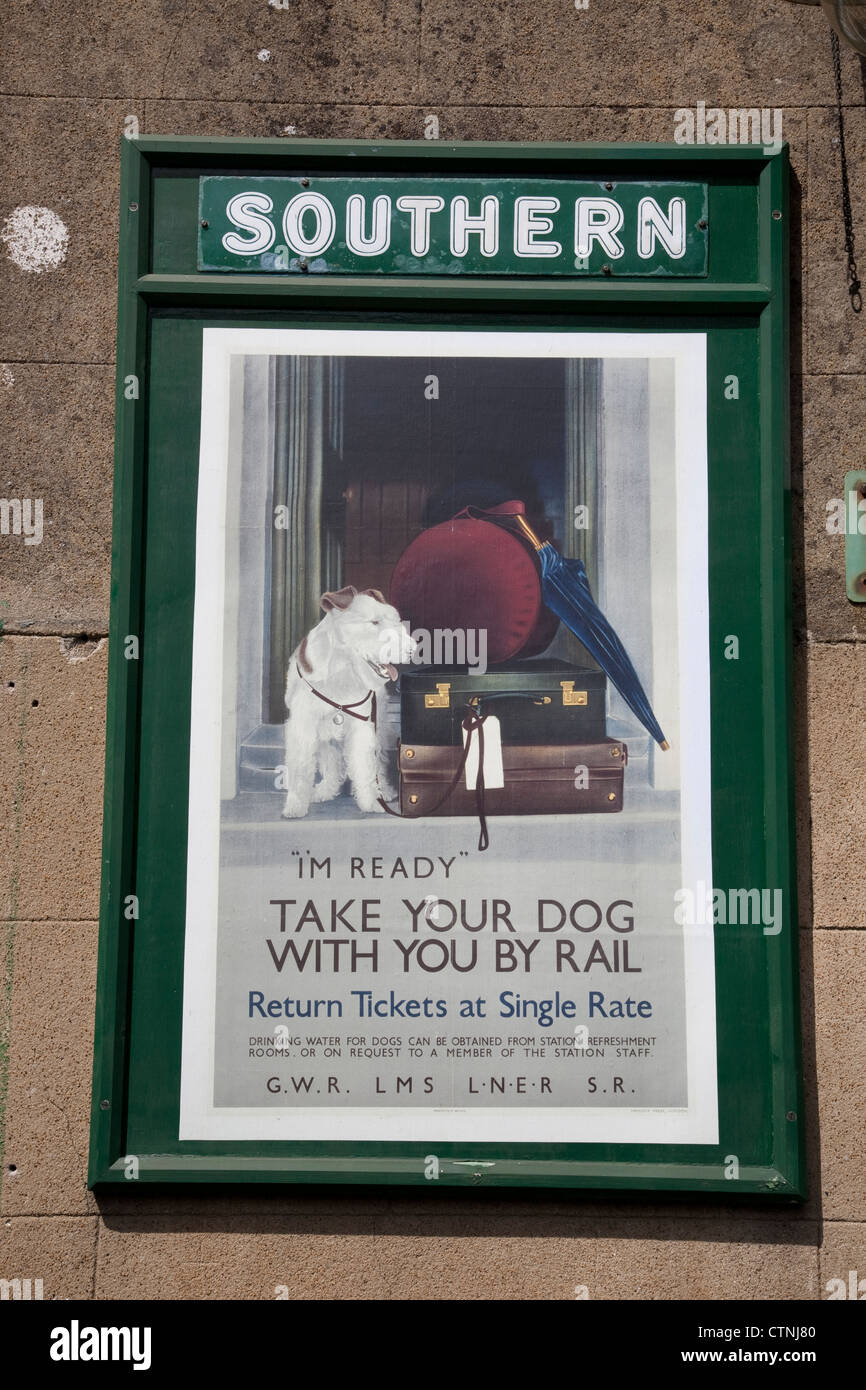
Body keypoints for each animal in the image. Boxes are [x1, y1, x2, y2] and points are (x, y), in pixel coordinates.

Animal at [280, 583, 417, 817]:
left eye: (395, 619)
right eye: (374, 622)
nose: (412, 649)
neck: (340, 671)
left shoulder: (362, 726)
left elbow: (365, 765)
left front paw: (372, 801)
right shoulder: (303, 726)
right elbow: (301, 768)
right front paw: (295, 805)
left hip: (378, 723)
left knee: (377, 759)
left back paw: (385, 791)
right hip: (325, 735)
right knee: (332, 761)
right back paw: (325, 789)